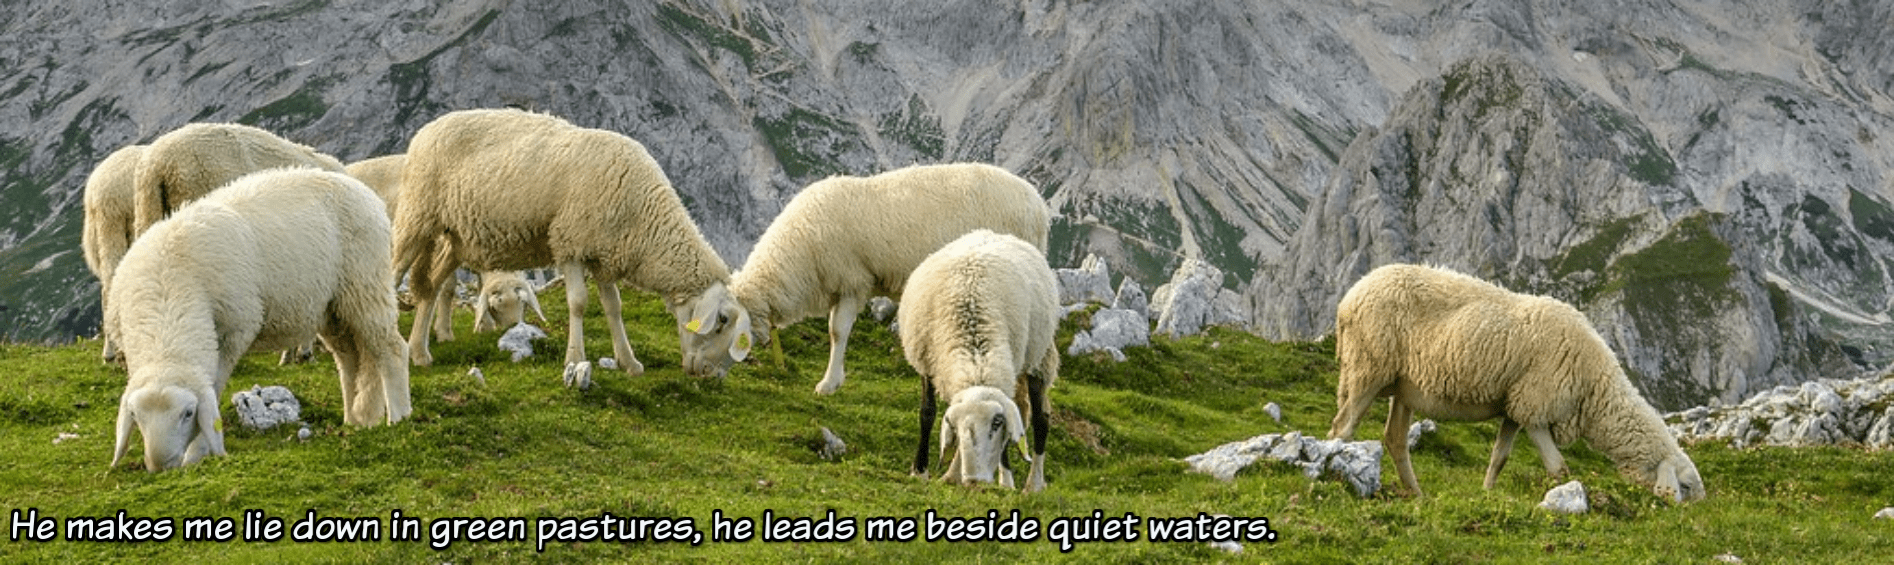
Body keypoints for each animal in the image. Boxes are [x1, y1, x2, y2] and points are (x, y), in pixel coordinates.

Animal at [109, 167, 411, 471]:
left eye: (188, 413)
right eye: (136, 416)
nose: (161, 465)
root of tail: (364, 191)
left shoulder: (233, 331)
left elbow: (214, 388)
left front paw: (197, 453)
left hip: (366, 283)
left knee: (391, 349)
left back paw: (398, 417)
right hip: (332, 309)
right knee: (350, 360)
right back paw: (353, 421)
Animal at [392, 108, 752, 385]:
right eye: (721, 321)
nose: (710, 375)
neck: (642, 217)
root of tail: (427, 128)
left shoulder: (604, 255)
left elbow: (614, 307)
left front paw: (629, 362)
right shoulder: (570, 243)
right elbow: (578, 303)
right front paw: (575, 359)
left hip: (456, 241)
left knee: (430, 288)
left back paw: (419, 353)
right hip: (417, 216)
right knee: (393, 275)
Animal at [710, 162, 1050, 396]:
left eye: (722, 324)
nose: (707, 377)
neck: (800, 252)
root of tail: (1037, 204)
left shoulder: (853, 281)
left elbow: (838, 331)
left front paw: (828, 383)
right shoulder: (840, 285)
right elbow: (835, 331)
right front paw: (835, 378)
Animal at [899, 230, 1059, 494]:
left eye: (997, 423)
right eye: (956, 426)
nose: (976, 480)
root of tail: (992, 232)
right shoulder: (927, 364)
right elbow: (927, 413)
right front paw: (921, 471)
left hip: (1038, 357)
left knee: (1040, 420)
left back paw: (1032, 484)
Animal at [1326, 264, 1705, 502]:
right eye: (1685, 486)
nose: (1692, 517)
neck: (1595, 387)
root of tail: (1349, 296)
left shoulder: (1514, 406)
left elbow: (1500, 457)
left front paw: (1487, 493)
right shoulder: (1535, 406)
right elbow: (1558, 467)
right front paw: (1571, 495)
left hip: (1402, 386)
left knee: (1395, 439)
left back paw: (1416, 495)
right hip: (1367, 368)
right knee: (1342, 428)